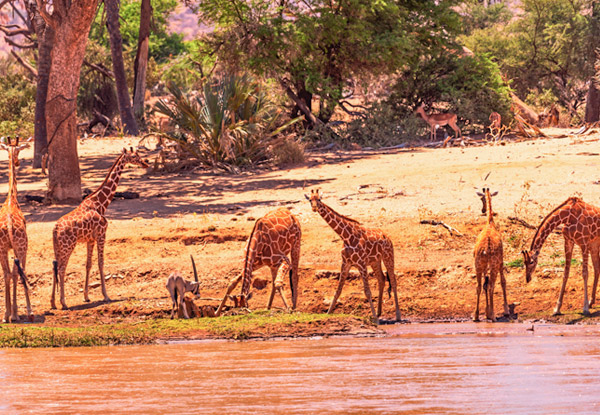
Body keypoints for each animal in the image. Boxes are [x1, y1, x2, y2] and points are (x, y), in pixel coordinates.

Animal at [52, 148, 149, 310]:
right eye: (134, 156)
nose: (145, 163)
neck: (101, 203)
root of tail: (55, 228)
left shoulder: (90, 240)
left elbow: (88, 264)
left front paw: (86, 296)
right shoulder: (102, 234)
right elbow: (101, 262)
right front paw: (106, 296)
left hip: (57, 247)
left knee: (54, 266)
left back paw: (53, 302)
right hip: (68, 245)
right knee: (61, 268)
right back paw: (63, 302)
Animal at [308, 189, 400, 324]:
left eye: (319, 199)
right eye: (310, 199)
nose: (314, 208)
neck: (346, 236)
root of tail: (387, 237)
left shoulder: (361, 264)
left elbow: (367, 292)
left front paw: (375, 320)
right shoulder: (346, 262)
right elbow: (338, 290)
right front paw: (328, 313)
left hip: (388, 256)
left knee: (393, 280)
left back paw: (398, 315)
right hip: (375, 261)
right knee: (382, 279)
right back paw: (379, 313)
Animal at [474, 188, 510, 322]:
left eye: (482, 199)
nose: (483, 210)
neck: (490, 223)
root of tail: (487, 248)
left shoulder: (485, 266)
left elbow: (484, 285)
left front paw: (487, 312)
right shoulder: (501, 261)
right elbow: (503, 281)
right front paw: (506, 310)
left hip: (478, 264)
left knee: (479, 286)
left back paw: (476, 316)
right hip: (493, 265)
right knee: (491, 286)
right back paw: (494, 316)